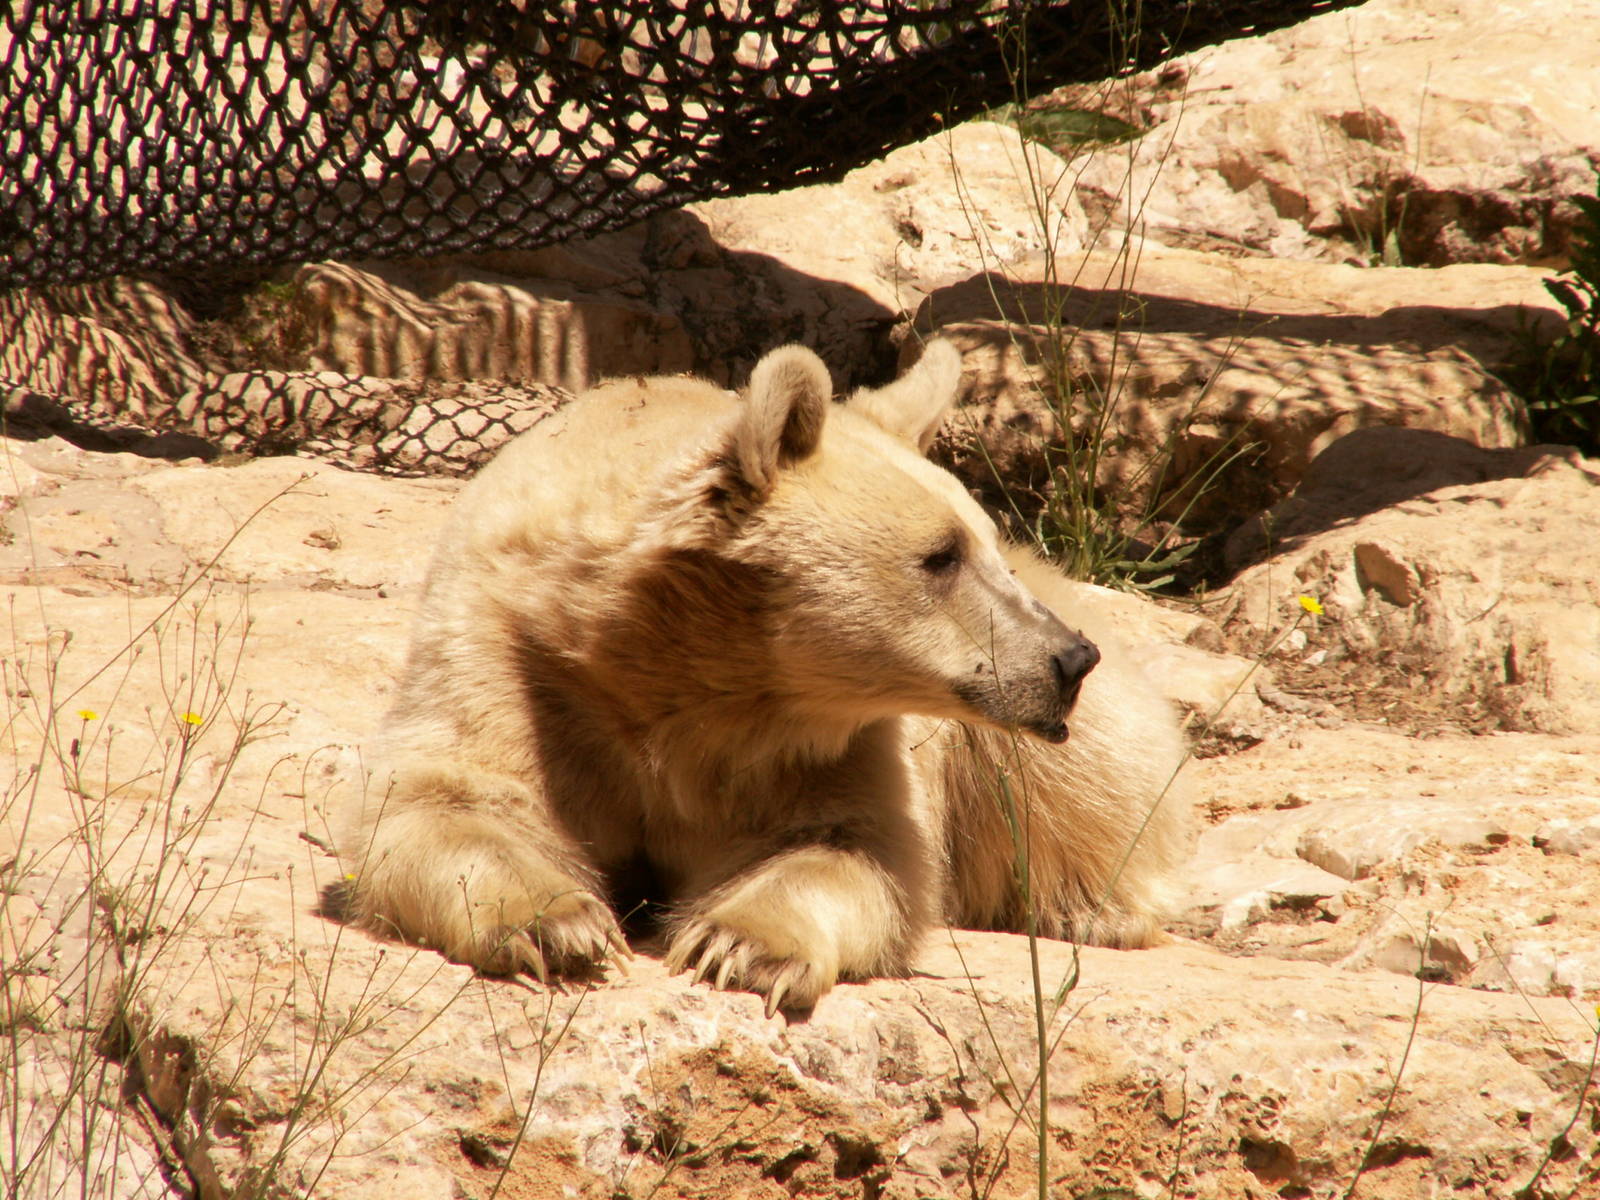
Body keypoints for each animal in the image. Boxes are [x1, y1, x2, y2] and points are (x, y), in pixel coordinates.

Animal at [342, 340, 1191, 1015]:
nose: (1069, 658)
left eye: (979, 542)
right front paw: (560, 926)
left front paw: (740, 945)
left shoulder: (825, 741)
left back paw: (1092, 911)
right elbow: (443, 799)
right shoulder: (513, 661)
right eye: (942, 555)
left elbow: (854, 845)